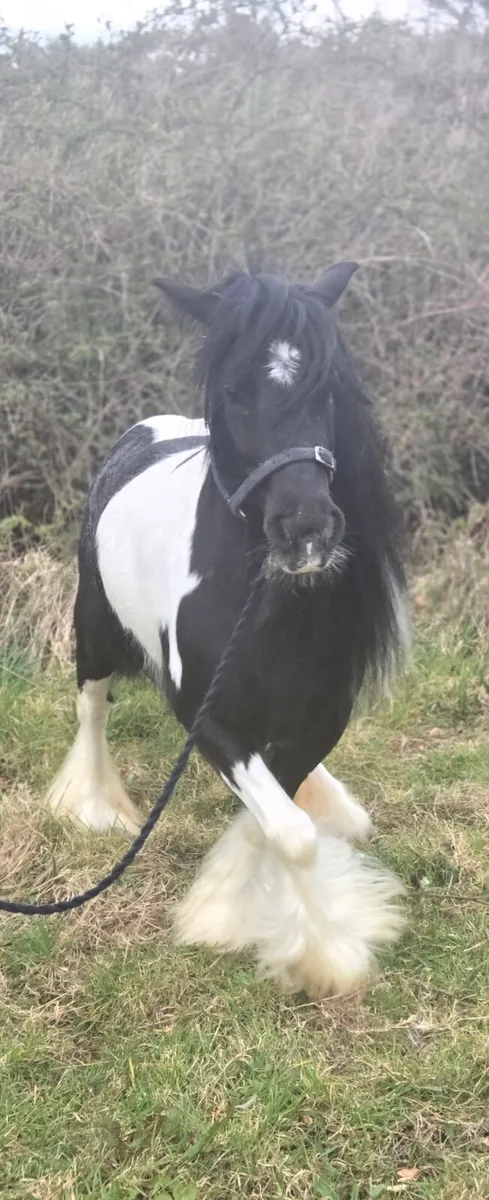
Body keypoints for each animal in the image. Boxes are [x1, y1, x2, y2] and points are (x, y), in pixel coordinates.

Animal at [45, 261, 408, 998]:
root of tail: (145, 430)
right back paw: (94, 807)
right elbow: (287, 831)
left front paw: (232, 905)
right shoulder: (204, 717)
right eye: (236, 393)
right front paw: (319, 951)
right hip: (93, 631)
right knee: (92, 709)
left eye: (328, 386)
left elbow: (275, 816)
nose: (307, 530)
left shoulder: (321, 716)